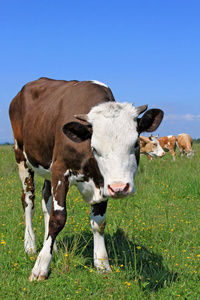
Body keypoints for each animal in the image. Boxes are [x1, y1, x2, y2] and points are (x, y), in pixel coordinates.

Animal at [8, 77, 163, 278]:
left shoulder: (102, 182)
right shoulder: (60, 170)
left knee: (45, 201)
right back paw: (30, 246)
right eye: (95, 148)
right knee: (28, 199)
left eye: (136, 143)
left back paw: (51, 246)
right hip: (21, 155)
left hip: (47, 166)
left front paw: (102, 264)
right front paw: (41, 266)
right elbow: (58, 218)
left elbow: (99, 222)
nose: (120, 188)